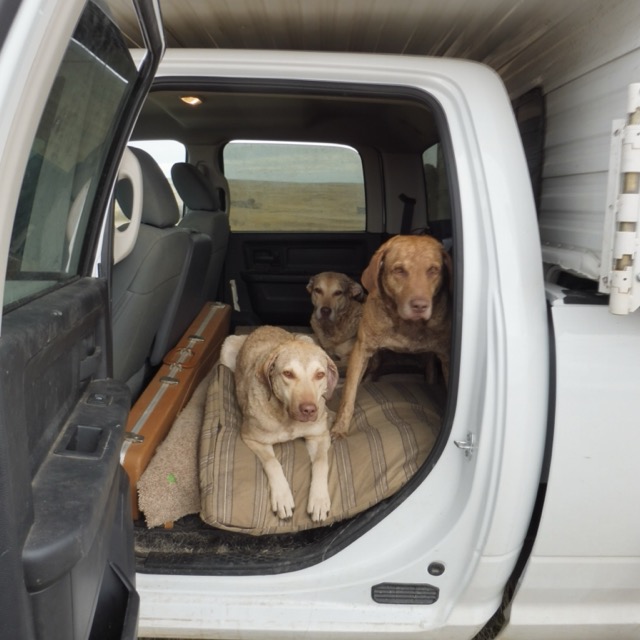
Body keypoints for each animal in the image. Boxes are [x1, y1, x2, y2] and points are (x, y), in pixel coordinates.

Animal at [221, 328, 340, 524]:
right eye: (288, 374)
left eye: (320, 375)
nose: (309, 410)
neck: (287, 418)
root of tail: (263, 327)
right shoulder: (253, 438)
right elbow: (272, 463)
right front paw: (282, 497)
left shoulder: (318, 437)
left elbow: (321, 462)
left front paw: (319, 499)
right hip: (227, 348)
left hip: (306, 338)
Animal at [332, 235, 452, 440]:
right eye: (399, 270)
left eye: (433, 270)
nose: (420, 306)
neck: (407, 324)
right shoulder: (362, 350)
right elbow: (348, 394)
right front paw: (340, 427)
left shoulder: (445, 356)